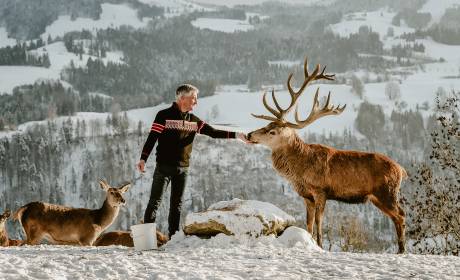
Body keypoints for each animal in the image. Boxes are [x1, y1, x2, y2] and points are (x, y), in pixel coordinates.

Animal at [248, 58, 406, 254]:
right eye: (266, 125)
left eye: (272, 131)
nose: (249, 135)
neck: (300, 172)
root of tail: (402, 169)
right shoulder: (306, 195)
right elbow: (308, 223)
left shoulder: (320, 190)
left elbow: (318, 223)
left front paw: (320, 246)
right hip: (378, 197)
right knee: (397, 217)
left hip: (387, 192)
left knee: (401, 215)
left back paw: (402, 250)